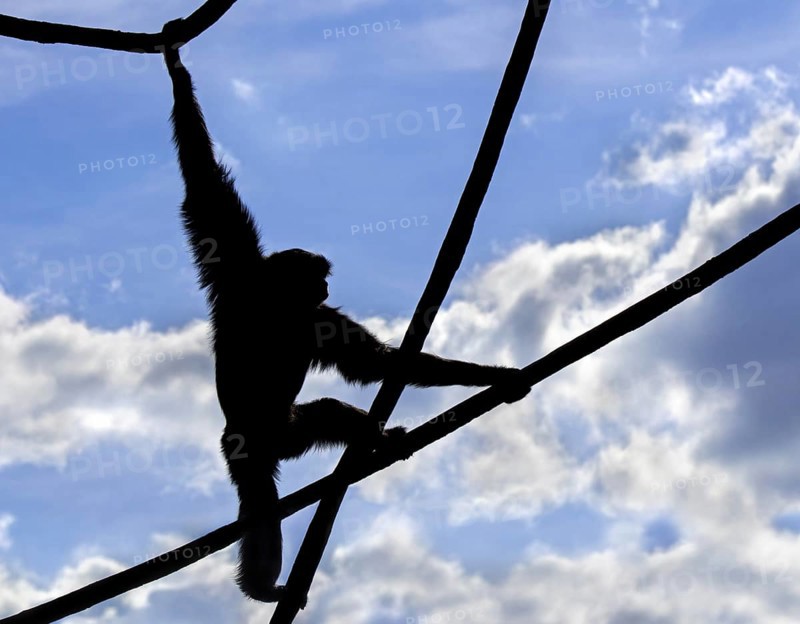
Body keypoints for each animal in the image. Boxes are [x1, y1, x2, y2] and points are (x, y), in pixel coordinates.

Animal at [161, 21, 530, 604]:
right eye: (316, 275)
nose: (327, 281)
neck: (274, 304)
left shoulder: (272, 293)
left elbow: (373, 364)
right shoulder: (250, 282)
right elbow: (205, 188)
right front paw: (176, 67)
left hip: (289, 431)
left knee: (329, 414)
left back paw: (376, 443)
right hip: (248, 444)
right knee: (261, 500)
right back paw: (264, 584)